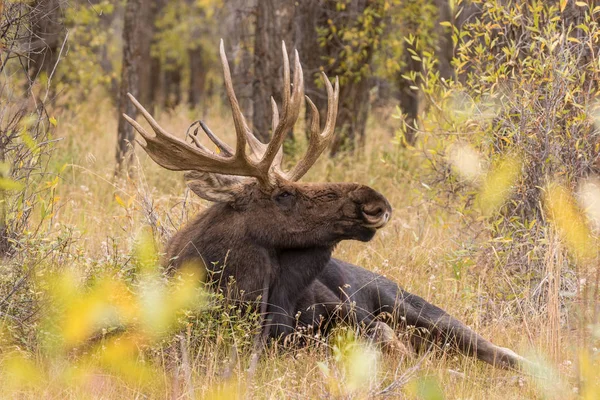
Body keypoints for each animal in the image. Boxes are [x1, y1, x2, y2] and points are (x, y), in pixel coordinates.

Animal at [124, 40, 528, 368]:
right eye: (284, 194)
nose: (376, 202)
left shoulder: (347, 314)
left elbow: (390, 345)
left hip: (417, 308)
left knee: (502, 352)